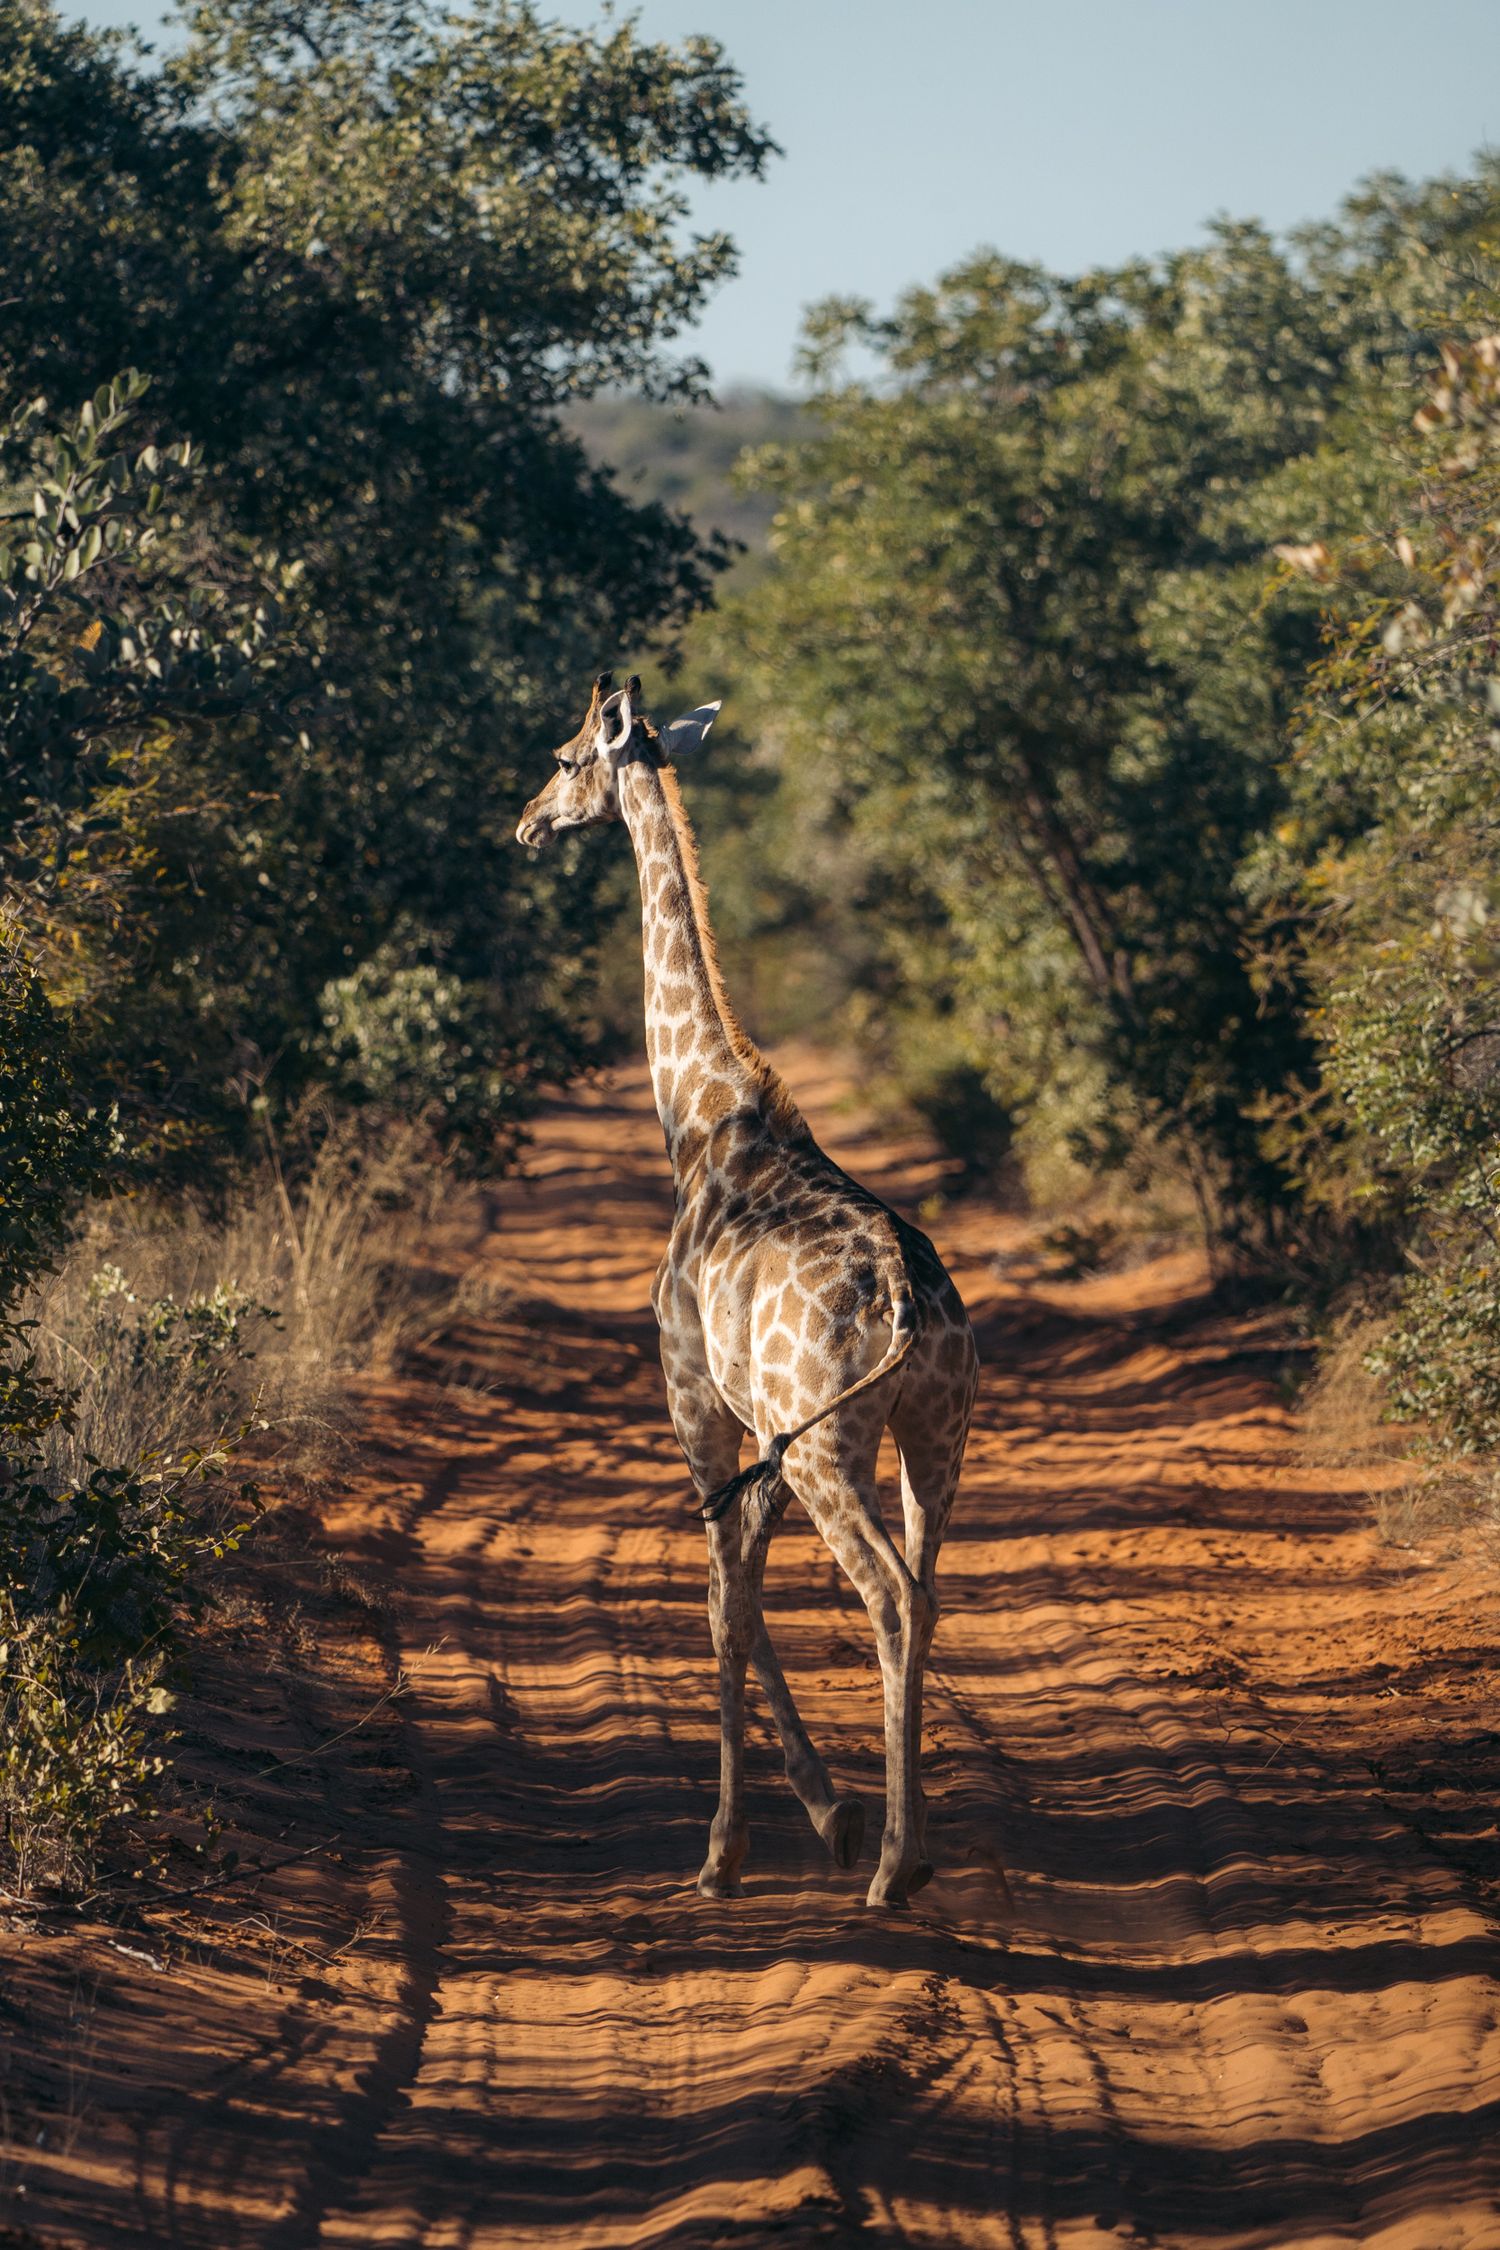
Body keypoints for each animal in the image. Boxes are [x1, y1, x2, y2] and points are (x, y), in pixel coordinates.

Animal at [516, 672, 979, 1908]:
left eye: (568, 757)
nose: (526, 822)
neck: (698, 1114)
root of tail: (907, 1302)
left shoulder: (698, 1402)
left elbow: (722, 1606)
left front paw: (727, 1850)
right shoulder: (762, 1433)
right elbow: (746, 1597)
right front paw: (828, 1811)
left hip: (831, 1446)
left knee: (884, 1594)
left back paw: (894, 1873)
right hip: (932, 1434)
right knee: (926, 1591)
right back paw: (906, 1847)